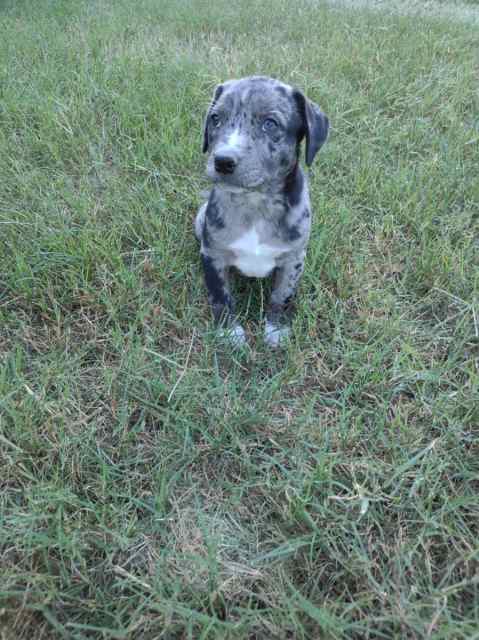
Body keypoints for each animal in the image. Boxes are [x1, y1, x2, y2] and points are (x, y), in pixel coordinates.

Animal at [195, 75, 330, 348]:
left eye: (270, 123)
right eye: (215, 118)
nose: (222, 161)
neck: (255, 201)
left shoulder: (293, 260)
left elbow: (282, 296)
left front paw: (276, 330)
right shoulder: (213, 254)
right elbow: (220, 296)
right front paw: (229, 332)